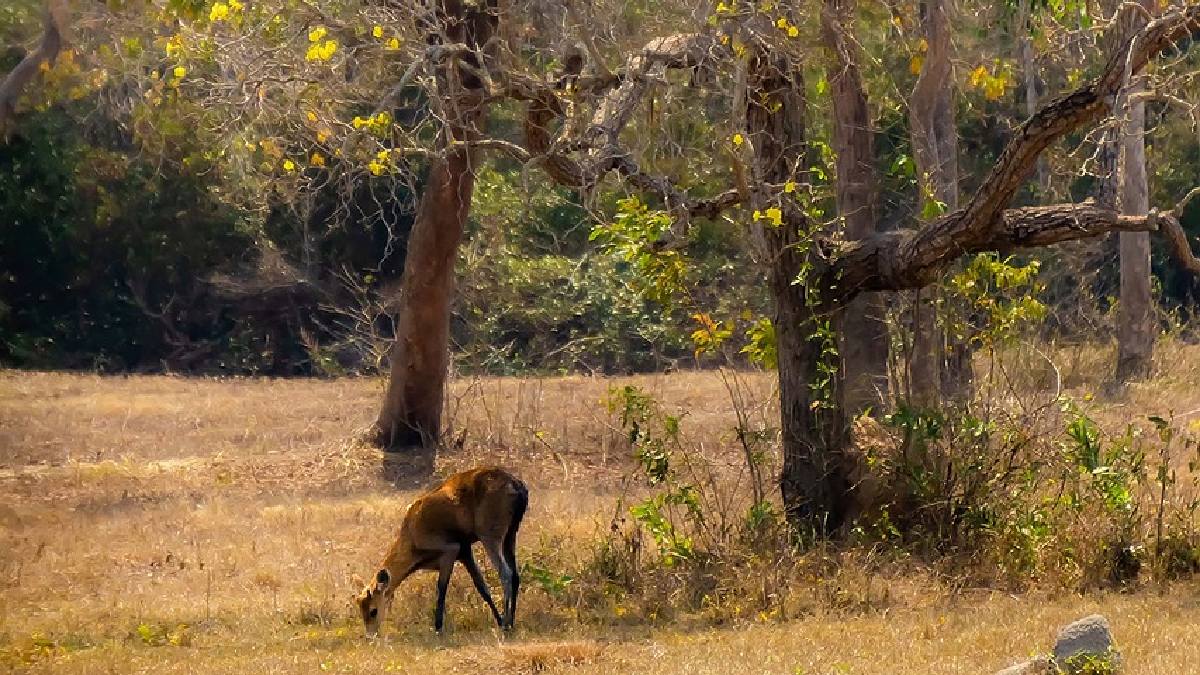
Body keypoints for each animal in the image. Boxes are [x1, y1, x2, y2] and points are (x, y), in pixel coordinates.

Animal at [355, 467, 528, 637]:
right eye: (361, 611)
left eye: (373, 611)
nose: (370, 636)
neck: (413, 542)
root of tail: (517, 485)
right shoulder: (465, 551)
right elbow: (482, 587)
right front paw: (498, 620)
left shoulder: (450, 549)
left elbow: (441, 589)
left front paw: (438, 628)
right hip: (511, 533)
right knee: (515, 574)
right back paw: (510, 622)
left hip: (490, 533)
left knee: (505, 573)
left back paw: (506, 624)